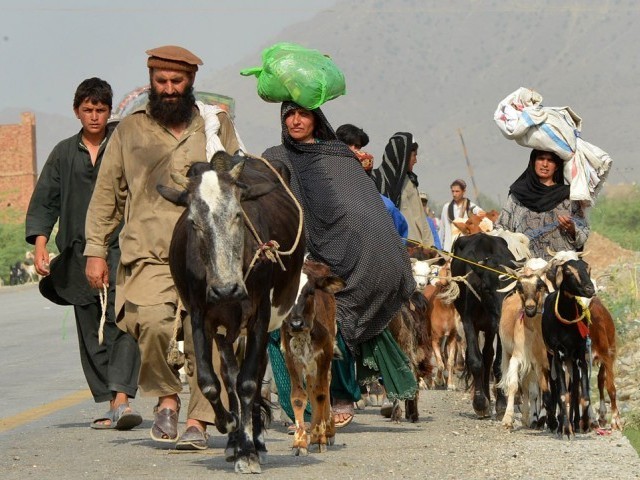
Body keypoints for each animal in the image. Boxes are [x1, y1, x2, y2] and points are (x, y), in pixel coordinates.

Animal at [157, 153, 302, 472]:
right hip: (225, 332)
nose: (226, 290)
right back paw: (235, 439)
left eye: (238, 214)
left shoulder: (260, 317)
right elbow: (211, 383)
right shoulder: (200, 317)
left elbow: (248, 383)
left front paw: (248, 452)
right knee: (228, 376)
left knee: (253, 375)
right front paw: (230, 426)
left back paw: (256, 441)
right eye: (193, 222)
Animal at [282, 260, 344, 456]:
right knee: (311, 387)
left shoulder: (324, 353)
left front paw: (318, 437)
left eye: (309, 292)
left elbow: (321, 394)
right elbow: (298, 398)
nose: (295, 323)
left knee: (324, 386)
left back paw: (327, 431)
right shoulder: (291, 357)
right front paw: (300, 442)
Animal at [448, 232, 516, 416]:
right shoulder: (468, 322)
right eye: (486, 288)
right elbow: (475, 361)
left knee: (488, 355)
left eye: (512, 290)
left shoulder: (497, 329)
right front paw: (479, 402)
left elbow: (497, 363)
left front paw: (501, 404)